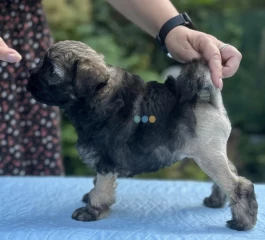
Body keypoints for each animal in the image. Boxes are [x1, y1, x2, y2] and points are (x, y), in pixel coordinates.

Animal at [26, 40, 256, 231]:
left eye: (51, 71)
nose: (29, 78)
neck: (96, 96)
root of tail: (208, 101)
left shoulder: (105, 163)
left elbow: (101, 188)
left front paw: (92, 210)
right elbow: (97, 184)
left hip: (208, 156)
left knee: (239, 185)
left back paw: (242, 222)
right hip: (210, 155)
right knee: (231, 173)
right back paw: (216, 201)